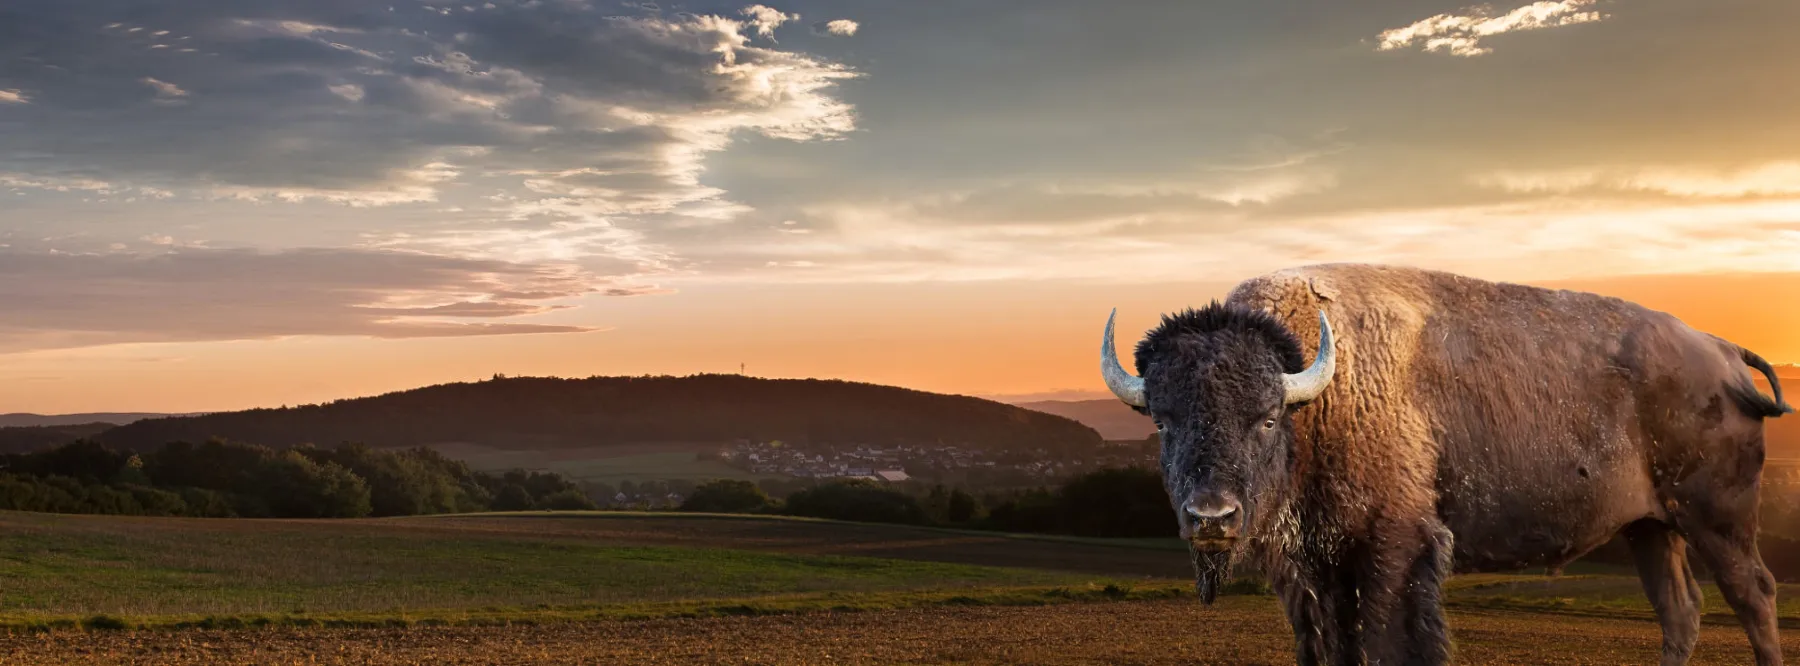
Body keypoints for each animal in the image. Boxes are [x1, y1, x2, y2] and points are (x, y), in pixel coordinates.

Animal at [1094, 262, 1785, 662]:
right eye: (1163, 420)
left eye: (1266, 418)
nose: (1211, 517)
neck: (1318, 395)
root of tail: (1721, 350)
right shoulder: (1310, 569)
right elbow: (1329, 647)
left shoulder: (1394, 550)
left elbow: (1393, 642)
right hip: (1651, 528)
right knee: (1680, 612)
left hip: (1717, 520)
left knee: (1754, 595)